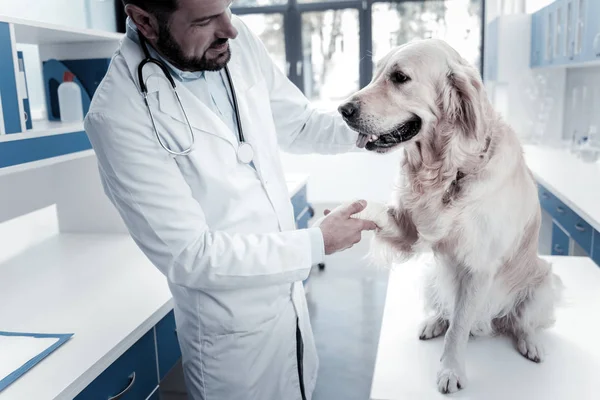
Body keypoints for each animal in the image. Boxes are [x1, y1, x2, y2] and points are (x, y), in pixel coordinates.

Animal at [338, 39, 556, 396]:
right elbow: (380, 210)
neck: (448, 168)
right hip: (431, 277)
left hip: (543, 284)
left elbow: (459, 328)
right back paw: (433, 322)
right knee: (445, 308)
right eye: (376, 74)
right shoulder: (410, 231)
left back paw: (530, 343)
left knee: (521, 322)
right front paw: (346, 212)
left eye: (400, 77)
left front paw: (451, 370)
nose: (343, 110)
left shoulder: (478, 266)